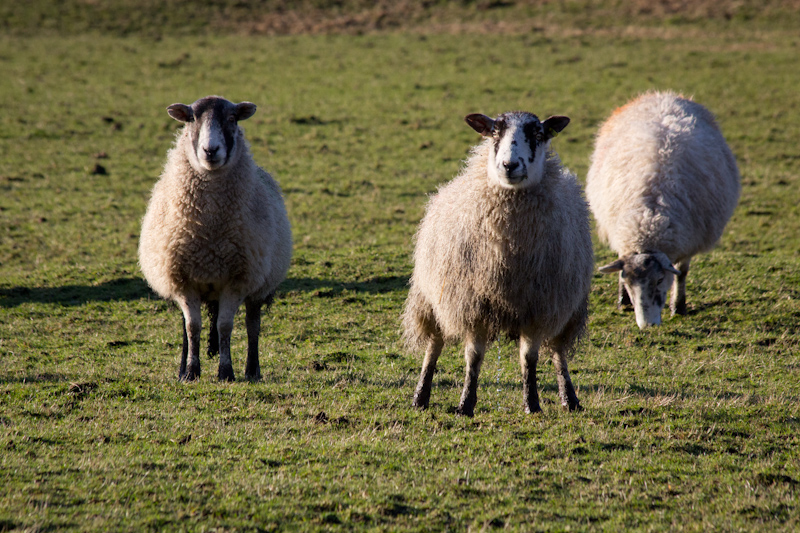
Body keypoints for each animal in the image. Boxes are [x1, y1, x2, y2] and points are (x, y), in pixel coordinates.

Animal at [139, 94, 292, 378]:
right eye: (191, 119)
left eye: (232, 118)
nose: (210, 150)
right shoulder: (183, 280)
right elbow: (192, 328)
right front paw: (190, 371)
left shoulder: (237, 279)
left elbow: (225, 327)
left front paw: (226, 371)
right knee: (187, 328)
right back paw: (182, 368)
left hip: (258, 285)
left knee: (252, 325)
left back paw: (252, 371)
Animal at [400, 109, 592, 416]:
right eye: (493, 133)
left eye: (538, 134)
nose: (509, 165)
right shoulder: (474, 304)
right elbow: (474, 358)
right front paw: (465, 404)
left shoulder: (537, 307)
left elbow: (529, 358)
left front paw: (532, 404)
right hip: (432, 299)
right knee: (433, 344)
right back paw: (421, 396)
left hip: (564, 308)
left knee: (558, 350)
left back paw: (569, 398)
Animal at [584, 91, 740, 328]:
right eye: (628, 282)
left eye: (658, 280)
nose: (647, 326)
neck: (649, 219)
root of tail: (663, 95)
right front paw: (623, 299)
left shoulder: (689, 239)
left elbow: (681, 273)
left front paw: (679, 307)